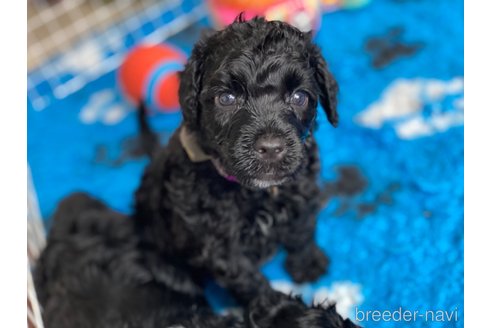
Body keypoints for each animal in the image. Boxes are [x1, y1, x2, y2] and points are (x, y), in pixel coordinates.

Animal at [136, 14, 340, 302]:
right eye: (227, 98)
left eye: (299, 97)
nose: (271, 147)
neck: (257, 192)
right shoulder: (217, 243)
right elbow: (247, 280)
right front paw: (278, 307)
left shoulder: (303, 189)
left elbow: (302, 229)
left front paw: (307, 263)